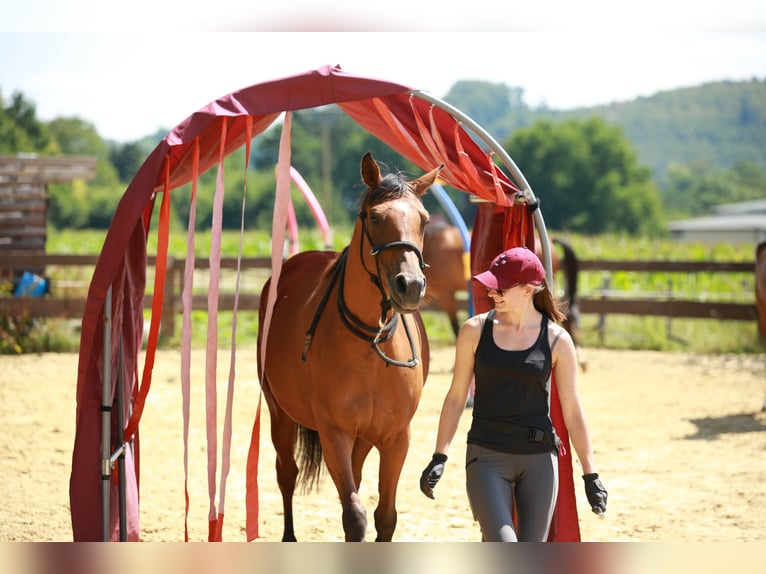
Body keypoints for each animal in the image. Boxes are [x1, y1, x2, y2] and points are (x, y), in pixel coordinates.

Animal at [255, 154, 440, 544]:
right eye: (375, 217)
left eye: (424, 220)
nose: (411, 285)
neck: (370, 344)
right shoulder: (334, 433)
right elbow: (354, 516)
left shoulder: (395, 438)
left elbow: (385, 516)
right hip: (280, 413)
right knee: (286, 473)